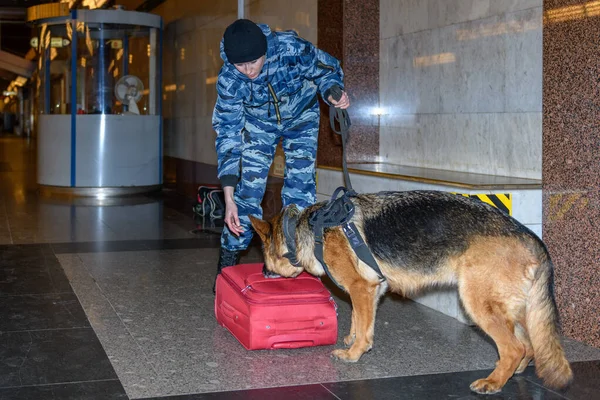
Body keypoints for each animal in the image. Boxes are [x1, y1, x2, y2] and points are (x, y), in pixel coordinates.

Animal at [251, 191, 576, 394]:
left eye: (264, 254)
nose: (262, 273)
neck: (305, 230)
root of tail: (532, 238)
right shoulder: (371, 289)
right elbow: (358, 320)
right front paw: (352, 340)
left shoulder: (360, 288)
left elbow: (363, 326)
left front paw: (354, 353)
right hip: (509, 308)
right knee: (528, 345)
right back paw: (512, 373)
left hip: (477, 303)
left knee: (514, 347)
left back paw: (493, 382)